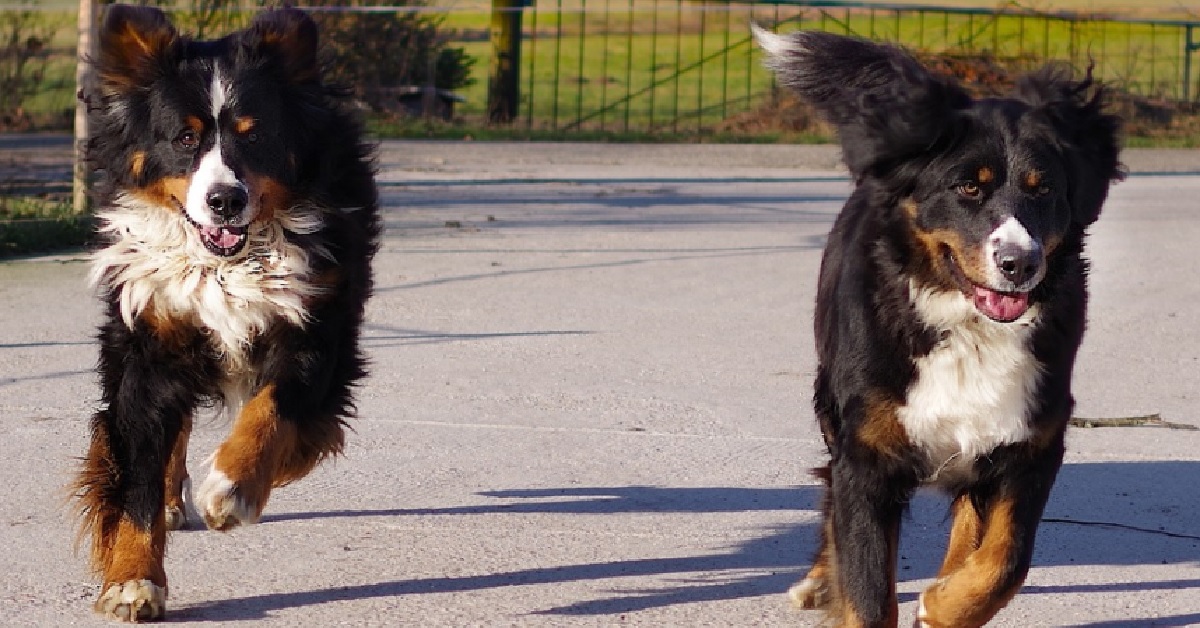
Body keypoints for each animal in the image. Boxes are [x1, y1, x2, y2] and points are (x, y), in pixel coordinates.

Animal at [76, 4, 374, 619]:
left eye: (254, 136)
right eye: (184, 137)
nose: (225, 200)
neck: (226, 265)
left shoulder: (317, 326)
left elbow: (273, 411)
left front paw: (233, 489)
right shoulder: (148, 335)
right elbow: (136, 466)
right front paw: (133, 581)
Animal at [753, 27, 1118, 624]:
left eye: (1043, 189)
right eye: (969, 188)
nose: (1019, 263)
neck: (966, 328)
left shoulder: (1032, 440)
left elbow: (1006, 559)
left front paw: (946, 604)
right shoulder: (867, 455)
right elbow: (867, 586)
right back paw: (818, 580)